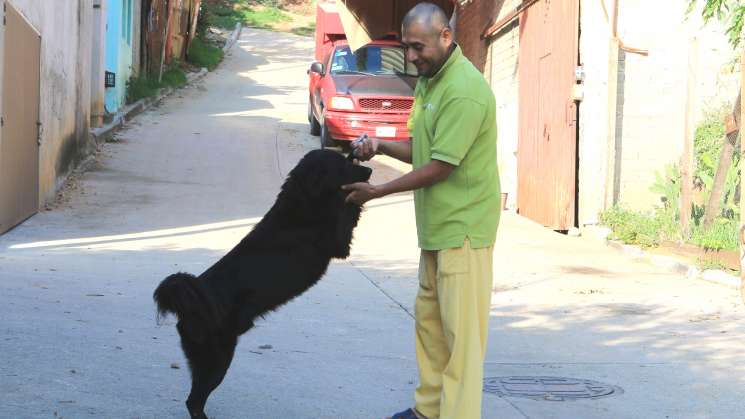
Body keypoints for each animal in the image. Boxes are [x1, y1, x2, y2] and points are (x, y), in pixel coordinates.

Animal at [153, 149, 370, 418]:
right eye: (341, 165)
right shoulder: (338, 243)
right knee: (194, 401)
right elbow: (347, 208)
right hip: (216, 360)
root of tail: (188, 307)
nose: (369, 171)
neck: (302, 203)